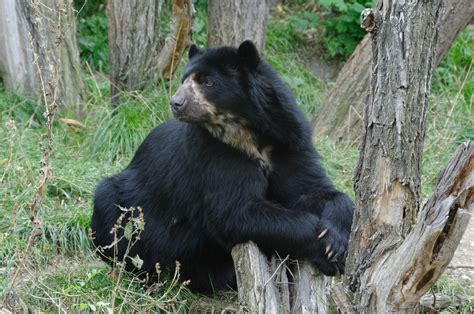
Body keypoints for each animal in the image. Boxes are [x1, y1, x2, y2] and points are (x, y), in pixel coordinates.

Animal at [91, 40, 352, 294]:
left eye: (207, 81)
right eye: (184, 80)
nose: (176, 103)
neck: (245, 132)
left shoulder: (288, 143)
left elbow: (312, 189)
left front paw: (335, 240)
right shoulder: (213, 154)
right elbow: (236, 211)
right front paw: (329, 256)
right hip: (130, 206)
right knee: (113, 221)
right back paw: (148, 278)